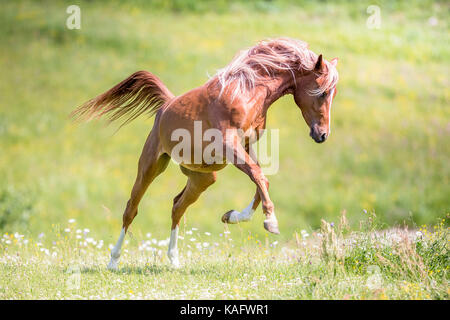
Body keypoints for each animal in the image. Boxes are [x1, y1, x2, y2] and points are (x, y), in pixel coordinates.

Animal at [71, 37, 338, 268]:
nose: (323, 135)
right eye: (323, 92)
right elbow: (258, 175)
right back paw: (113, 261)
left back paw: (174, 261)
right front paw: (270, 222)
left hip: (203, 177)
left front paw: (231, 216)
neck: (245, 91)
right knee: (131, 209)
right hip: (150, 166)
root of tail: (166, 105)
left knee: (177, 206)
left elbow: (261, 179)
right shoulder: (230, 146)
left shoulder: (247, 146)